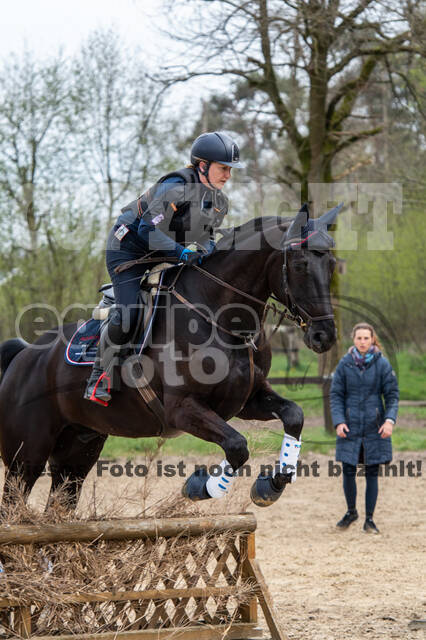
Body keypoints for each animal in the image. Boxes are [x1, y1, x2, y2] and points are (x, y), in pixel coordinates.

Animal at [0, 202, 342, 512]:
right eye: (300, 265)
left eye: (332, 265)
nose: (324, 336)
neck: (220, 318)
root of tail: (24, 355)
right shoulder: (183, 409)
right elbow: (237, 446)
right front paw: (200, 487)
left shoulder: (247, 400)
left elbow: (294, 415)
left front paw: (271, 485)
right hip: (26, 457)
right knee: (13, 503)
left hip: (77, 452)